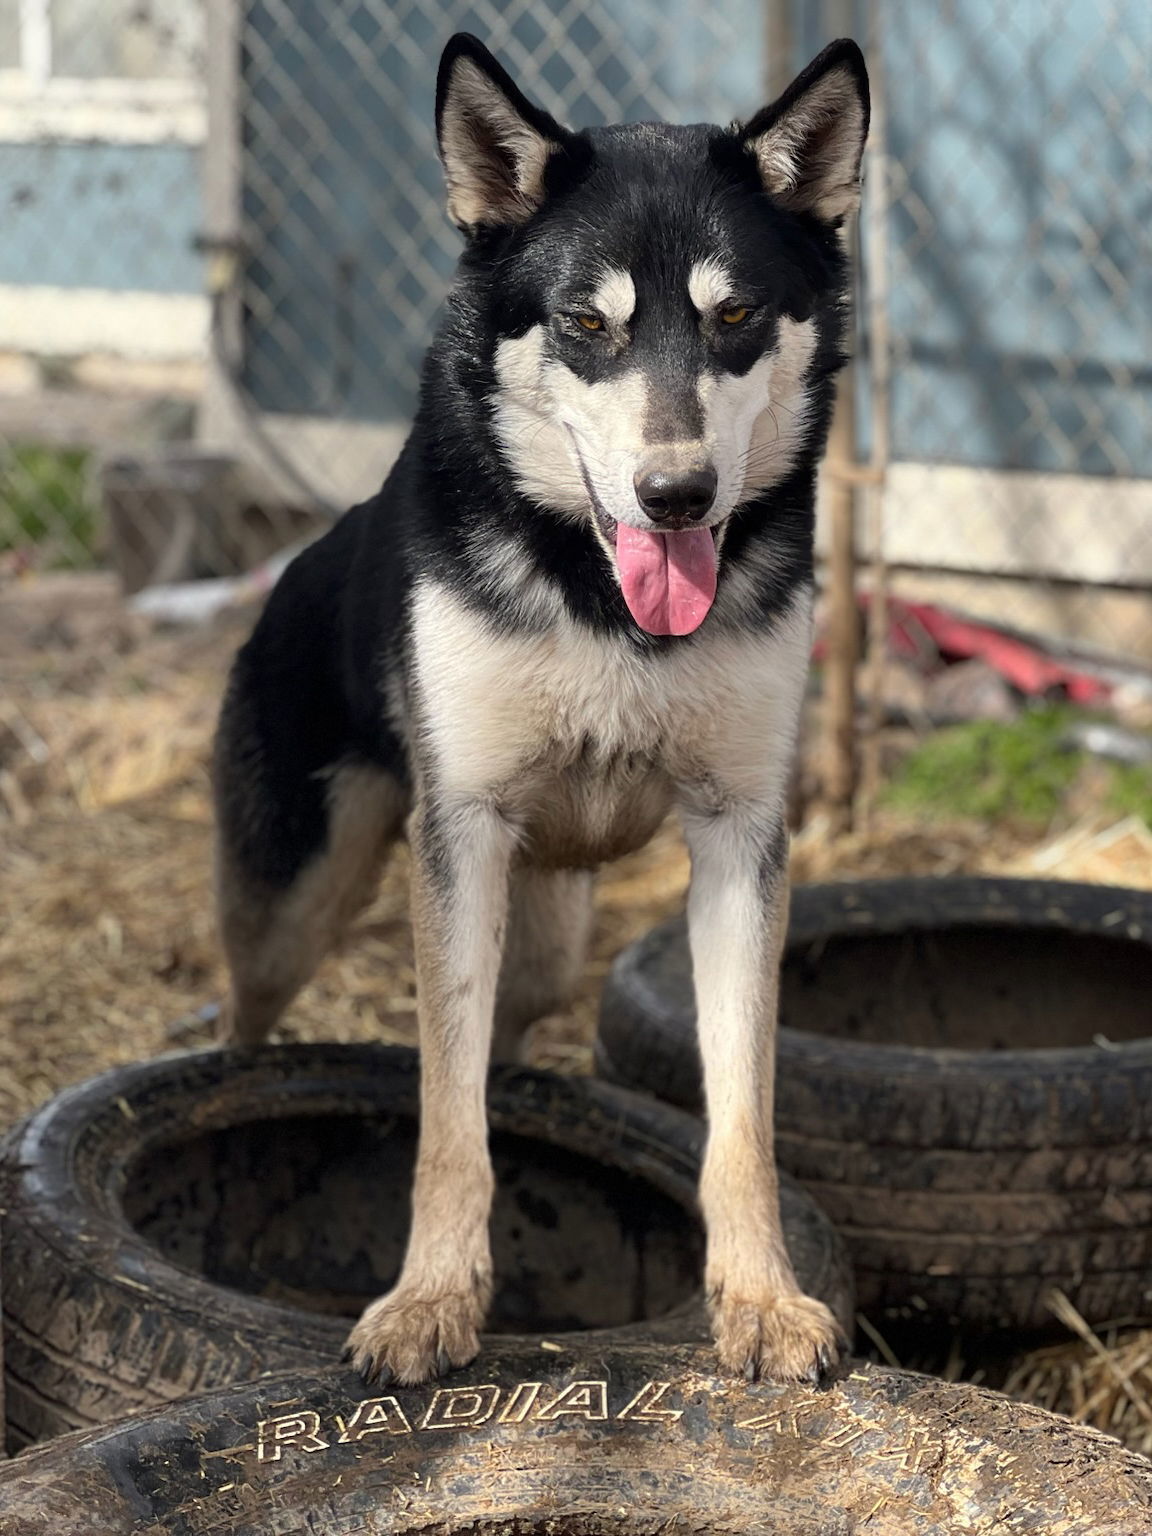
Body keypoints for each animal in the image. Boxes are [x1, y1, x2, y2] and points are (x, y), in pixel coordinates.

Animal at [211, 27, 872, 1394]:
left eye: (735, 318)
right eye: (584, 324)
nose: (677, 497)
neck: (605, 602)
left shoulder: (740, 838)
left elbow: (743, 1117)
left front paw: (762, 1299)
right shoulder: (460, 835)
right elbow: (445, 1119)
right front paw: (426, 1304)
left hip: (550, 943)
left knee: (510, 1036)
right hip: (294, 907)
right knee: (250, 1014)